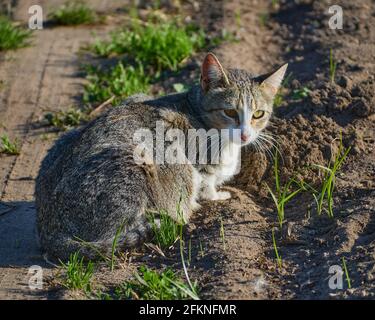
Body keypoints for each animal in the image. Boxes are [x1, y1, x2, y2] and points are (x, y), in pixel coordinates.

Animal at [35, 52, 288, 262]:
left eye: (258, 114)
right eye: (230, 112)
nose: (245, 134)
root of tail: (48, 231)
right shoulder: (189, 154)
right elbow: (205, 182)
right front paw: (215, 196)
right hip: (137, 162)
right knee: (115, 235)